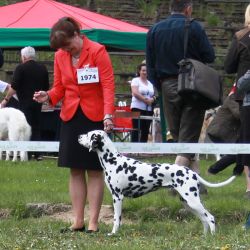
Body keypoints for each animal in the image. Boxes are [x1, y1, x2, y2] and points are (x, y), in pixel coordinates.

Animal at [78, 130, 236, 235]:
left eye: (88, 134)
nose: (78, 136)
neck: (113, 160)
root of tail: (191, 172)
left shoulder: (117, 197)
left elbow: (117, 219)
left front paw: (113, 234)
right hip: (188, 203)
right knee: (204, 219)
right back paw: (204, 237)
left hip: (192, 201)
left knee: (211, 218)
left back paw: (212, 237)